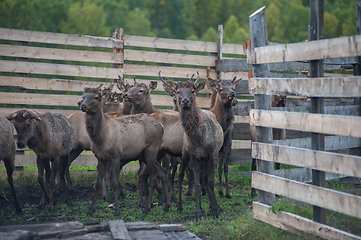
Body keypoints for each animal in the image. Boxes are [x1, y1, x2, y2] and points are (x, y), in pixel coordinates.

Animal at [79, 87, 169, 217]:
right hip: (143, 155)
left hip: (151, 150)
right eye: (83, 96)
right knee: (162, 171)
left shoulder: (116, 156)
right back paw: (167, 206)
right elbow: (97, 183)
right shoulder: (101, 158)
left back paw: (147, 209)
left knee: (153, 176)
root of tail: (161, 126)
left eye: (96, 97)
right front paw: (91, 210)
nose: (83, 106)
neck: (101, 139)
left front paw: (117, 210)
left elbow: (115, 183)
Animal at [160, 70, 224, 220]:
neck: (198, 138)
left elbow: (210, 181)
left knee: (204, 178)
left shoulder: (211, 154)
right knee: (181, 174)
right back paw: (179, 205)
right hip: (185, 153)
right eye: (178, 91)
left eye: (193, 91)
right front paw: (198, 213)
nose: (185, 100)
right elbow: (196, 183)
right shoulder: (194, 156)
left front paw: (215, 209)